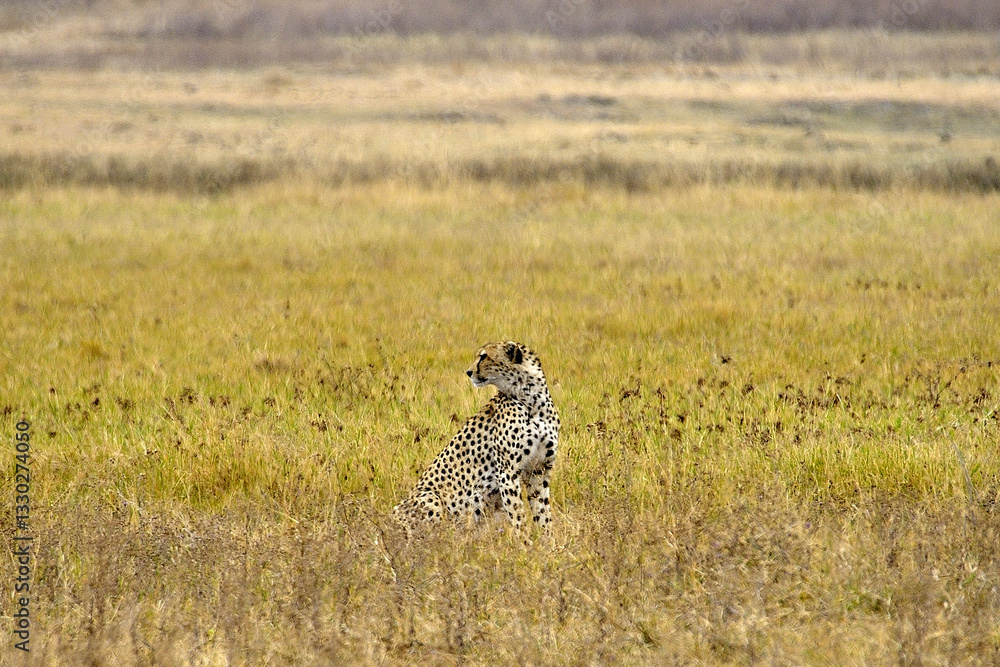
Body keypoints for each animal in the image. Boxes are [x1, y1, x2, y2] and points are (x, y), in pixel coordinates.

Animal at [392, 341, 560, 539]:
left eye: (484, 356)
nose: (468, 372)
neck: (533, 399)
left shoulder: (539, 469)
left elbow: (543, 514)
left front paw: (549, 544)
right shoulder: (507, 472)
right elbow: (518, 515)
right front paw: (525, 543)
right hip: (429, 497)